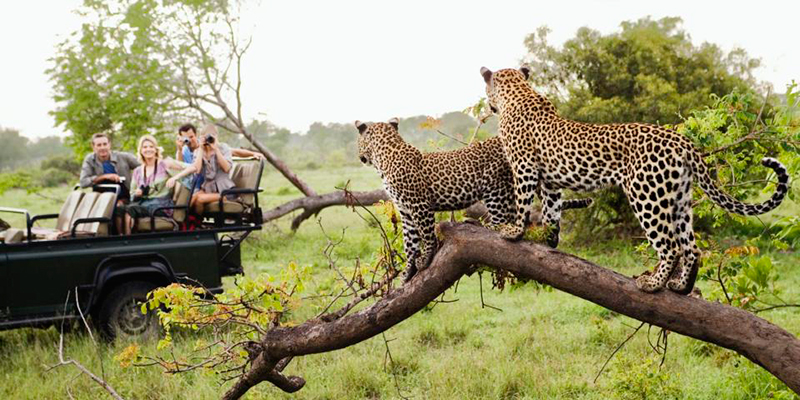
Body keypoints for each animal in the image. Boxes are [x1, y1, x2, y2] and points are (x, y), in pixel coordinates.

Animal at [356, 118, 592, 282]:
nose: (360, 156)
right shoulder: (405, 211)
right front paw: (407, 271)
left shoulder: (419, 205)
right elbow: (410, 242)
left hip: (496, 188)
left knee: (502, 222)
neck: (384, 157)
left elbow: (426, 235)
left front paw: (425, 258)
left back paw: (480, 224)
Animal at [478, 66, 792, 294]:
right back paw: (680, 287)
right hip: (679, 199)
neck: (518, 92)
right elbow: (552, 211)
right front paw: (549, 239)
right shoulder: (552, 181)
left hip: (647, 195)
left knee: (671, 246)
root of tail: (682, 141)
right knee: (691, 247)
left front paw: (514, 232)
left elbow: (523, 202)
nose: (488, 105)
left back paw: (652, 284)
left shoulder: (524, 168)